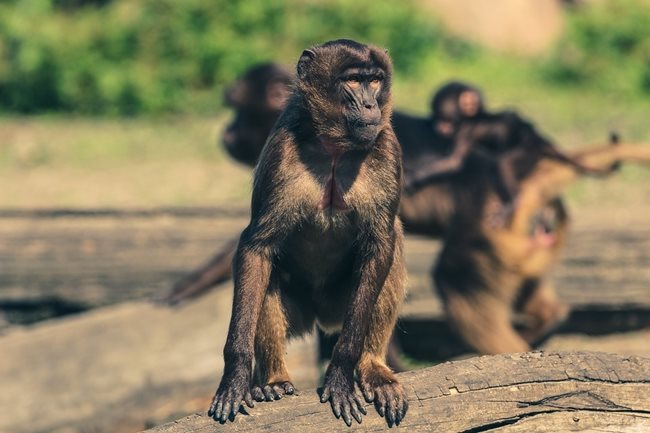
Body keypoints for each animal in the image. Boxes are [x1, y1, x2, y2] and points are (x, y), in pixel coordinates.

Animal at [208, 39, 408, 426]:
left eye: (375, 80)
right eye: (353, 80)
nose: (371, 105)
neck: (335, 147)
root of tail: (320, 316)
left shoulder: (388, 148)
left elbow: (381, 244)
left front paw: (341, 373)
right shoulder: (280, 150)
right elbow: (256, 247)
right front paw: (235, 376)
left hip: (340, 304)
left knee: (392, 245)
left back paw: (373, 367)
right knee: (265, 272)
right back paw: (274, 380)